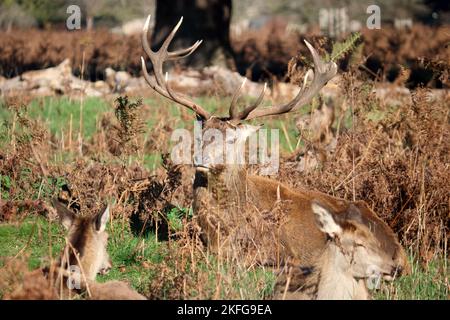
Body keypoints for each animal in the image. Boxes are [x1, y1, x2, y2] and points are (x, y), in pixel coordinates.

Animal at [140, 16, 408, 278]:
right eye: (201, 134)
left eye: (231, 139)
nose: (200, 159)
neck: (223, 232)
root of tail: (399, 252)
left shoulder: (278, 249)